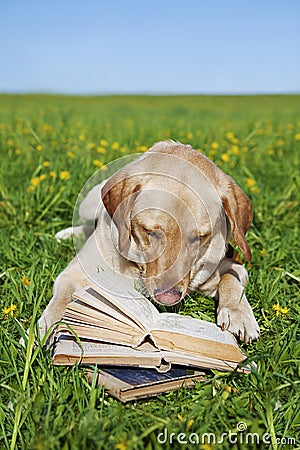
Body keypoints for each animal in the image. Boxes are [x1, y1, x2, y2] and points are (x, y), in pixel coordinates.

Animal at [38, 142, 260, 342]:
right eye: (149, 231)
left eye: (200, 237)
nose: (168, 298)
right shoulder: (74, 273)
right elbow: (62, 298)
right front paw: (51, 326)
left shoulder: (232, 265)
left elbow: (230, 280)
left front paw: (238, 313)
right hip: (88, 203)